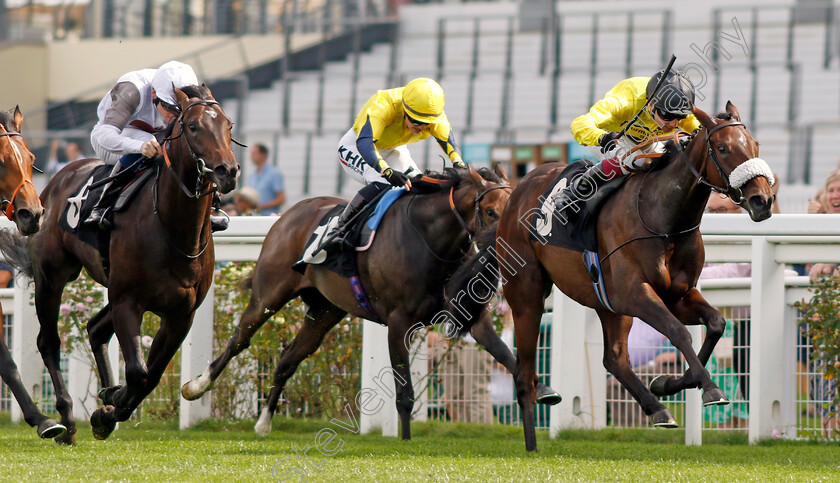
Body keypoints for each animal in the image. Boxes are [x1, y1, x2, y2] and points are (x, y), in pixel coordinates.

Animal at [0, 86, 240, 442]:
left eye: (228, 125)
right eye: (194, 126)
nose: (227, 171)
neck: (172, 228)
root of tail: (56, 182)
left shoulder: (181, 313)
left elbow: (152, 375)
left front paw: (109, 406)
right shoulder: (128, 301)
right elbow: (139, 373)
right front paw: (106, 408)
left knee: (94, 328)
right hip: (52, 277)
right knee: (49, 341)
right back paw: (65, 420)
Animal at [186, 165, 556, 438]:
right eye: (491, 212)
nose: (509, 247)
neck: (430, 239)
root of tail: (290, 213)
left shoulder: (468, 316)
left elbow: (505, 353)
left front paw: (542, 390)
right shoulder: (398, 323)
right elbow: (404, 394)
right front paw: (405, 442)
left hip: (324, 311)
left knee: (288, 359)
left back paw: (264, 423)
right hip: (269, 294)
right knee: (239, 339)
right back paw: (196, 387)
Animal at [450, 103, 772, 454]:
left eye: (755, 144)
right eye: (724, 148)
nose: (762, 200)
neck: (663, 218)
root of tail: (515, 195)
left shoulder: (677, 295)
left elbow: (715, 323)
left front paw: (668, 383)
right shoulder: (634, 294)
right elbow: (678, 332)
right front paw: (710, 389)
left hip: (605, 303)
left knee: (614, 358)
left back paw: (657, 409)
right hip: (527, 295)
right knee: (525, 371)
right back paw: (532, 443)